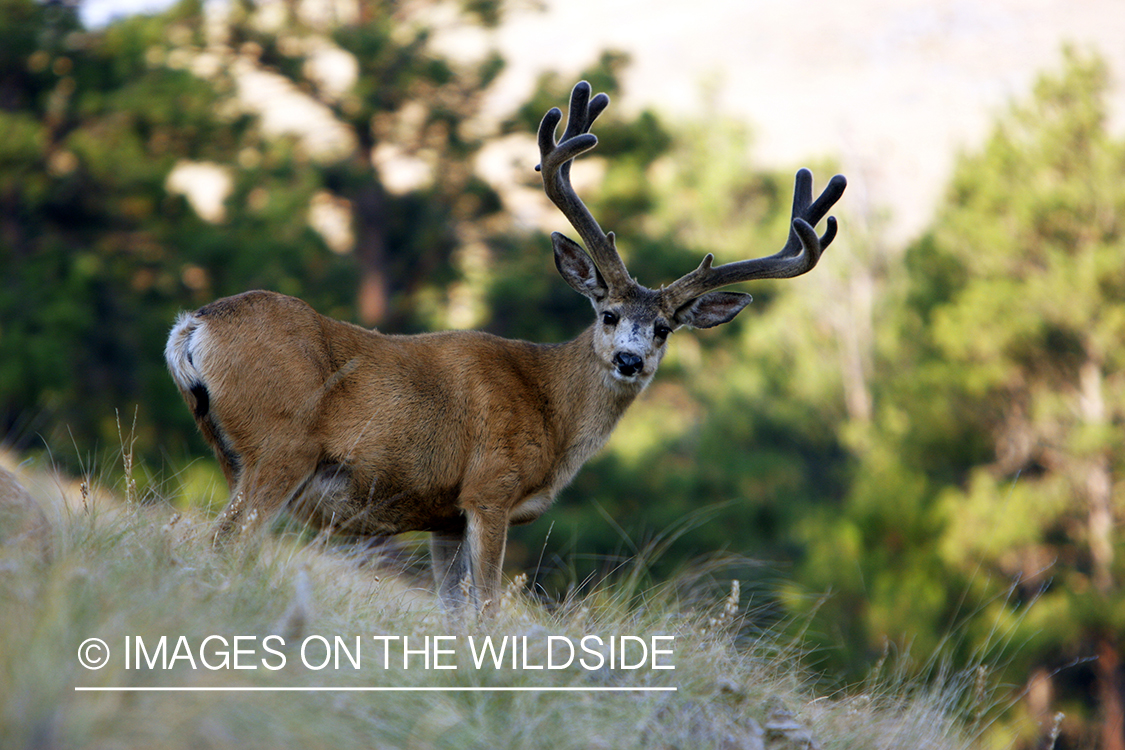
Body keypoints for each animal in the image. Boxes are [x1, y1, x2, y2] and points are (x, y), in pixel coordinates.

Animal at [165, 81, 846, 612]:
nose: (629, 360)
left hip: (235, 452)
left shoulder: (442, 514)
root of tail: (194, 324)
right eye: (607, 313)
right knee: (225, 541)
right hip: (280, 446)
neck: (551, 409)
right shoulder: (489, 489)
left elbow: (451, 613)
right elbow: (489, 608)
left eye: (663, 329)